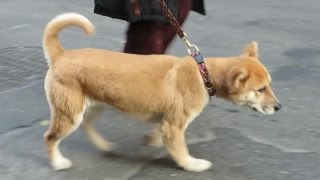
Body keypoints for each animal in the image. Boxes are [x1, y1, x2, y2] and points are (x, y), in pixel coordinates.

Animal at [42, 12, 280, 172]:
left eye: (269, 85)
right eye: (261, 89)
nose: (278, 107)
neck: (203, 73)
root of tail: (61, 54)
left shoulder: (166, 122)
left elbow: (161, 134)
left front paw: (154, 140)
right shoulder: (174, 126)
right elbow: (181, 151)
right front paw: (192, 164)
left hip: (95, 104)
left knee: (87, 125)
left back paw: (104, 146)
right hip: (69, 113)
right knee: (50, 137)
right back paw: (58, 162)